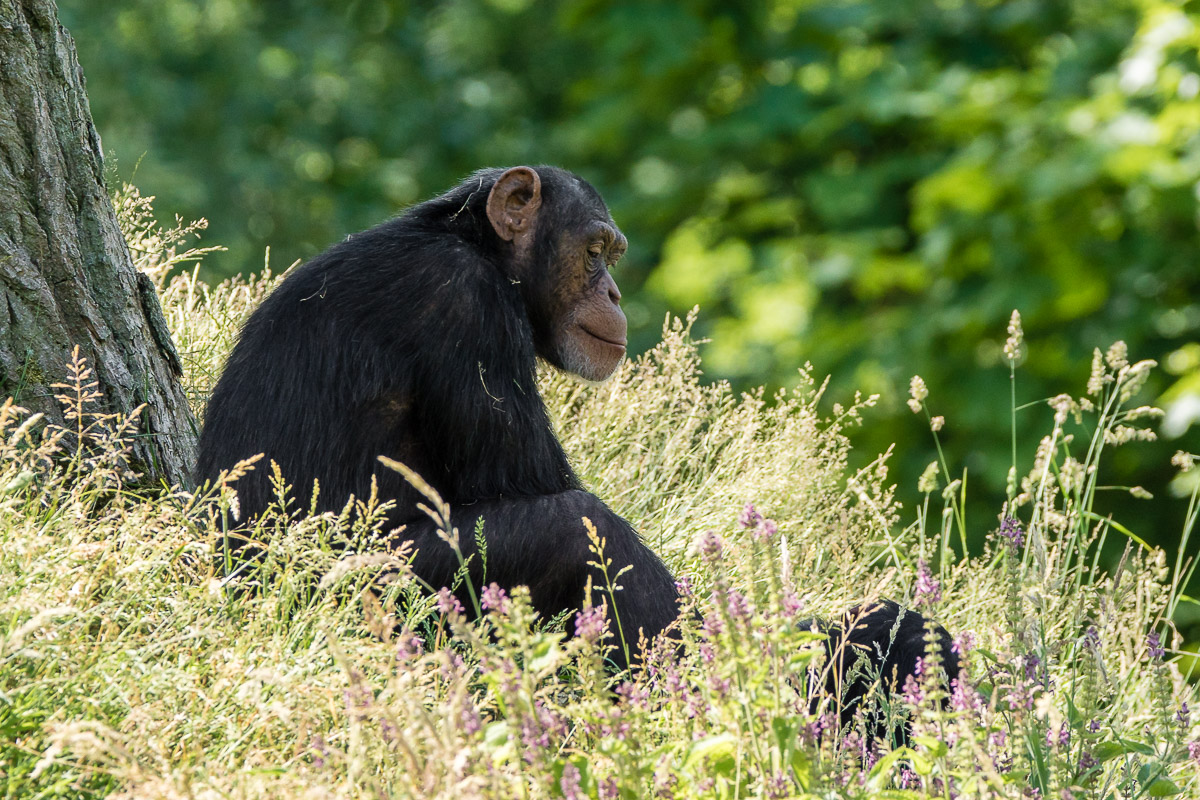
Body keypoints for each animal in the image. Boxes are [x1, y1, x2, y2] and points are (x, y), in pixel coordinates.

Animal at [194, 160, 955, 705]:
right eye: (595, 251)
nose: (615, 292)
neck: (476, 247)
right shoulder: (468, 307)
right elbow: (543, 491)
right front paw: (862, 648)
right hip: (367, 600)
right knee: (574, 524)